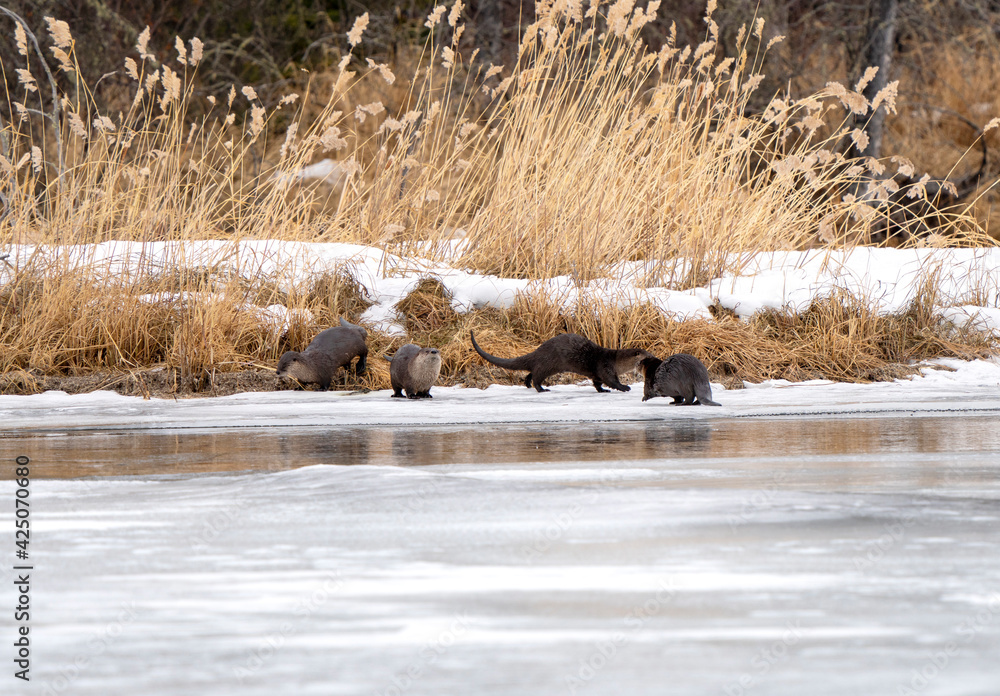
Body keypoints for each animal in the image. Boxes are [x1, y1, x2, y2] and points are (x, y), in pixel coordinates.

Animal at [470, 331, 651, 393]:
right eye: (645, 354)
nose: (652, 354)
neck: (615, 361)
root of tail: (537, 351)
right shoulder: (605, 367)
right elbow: (611, 381)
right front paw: (625, 387)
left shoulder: (597, 373)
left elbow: (597, 383)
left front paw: (603, 391)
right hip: (547, 364)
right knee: (537, 377)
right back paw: (542, 389)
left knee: (531, 373)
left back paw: (527, 384)